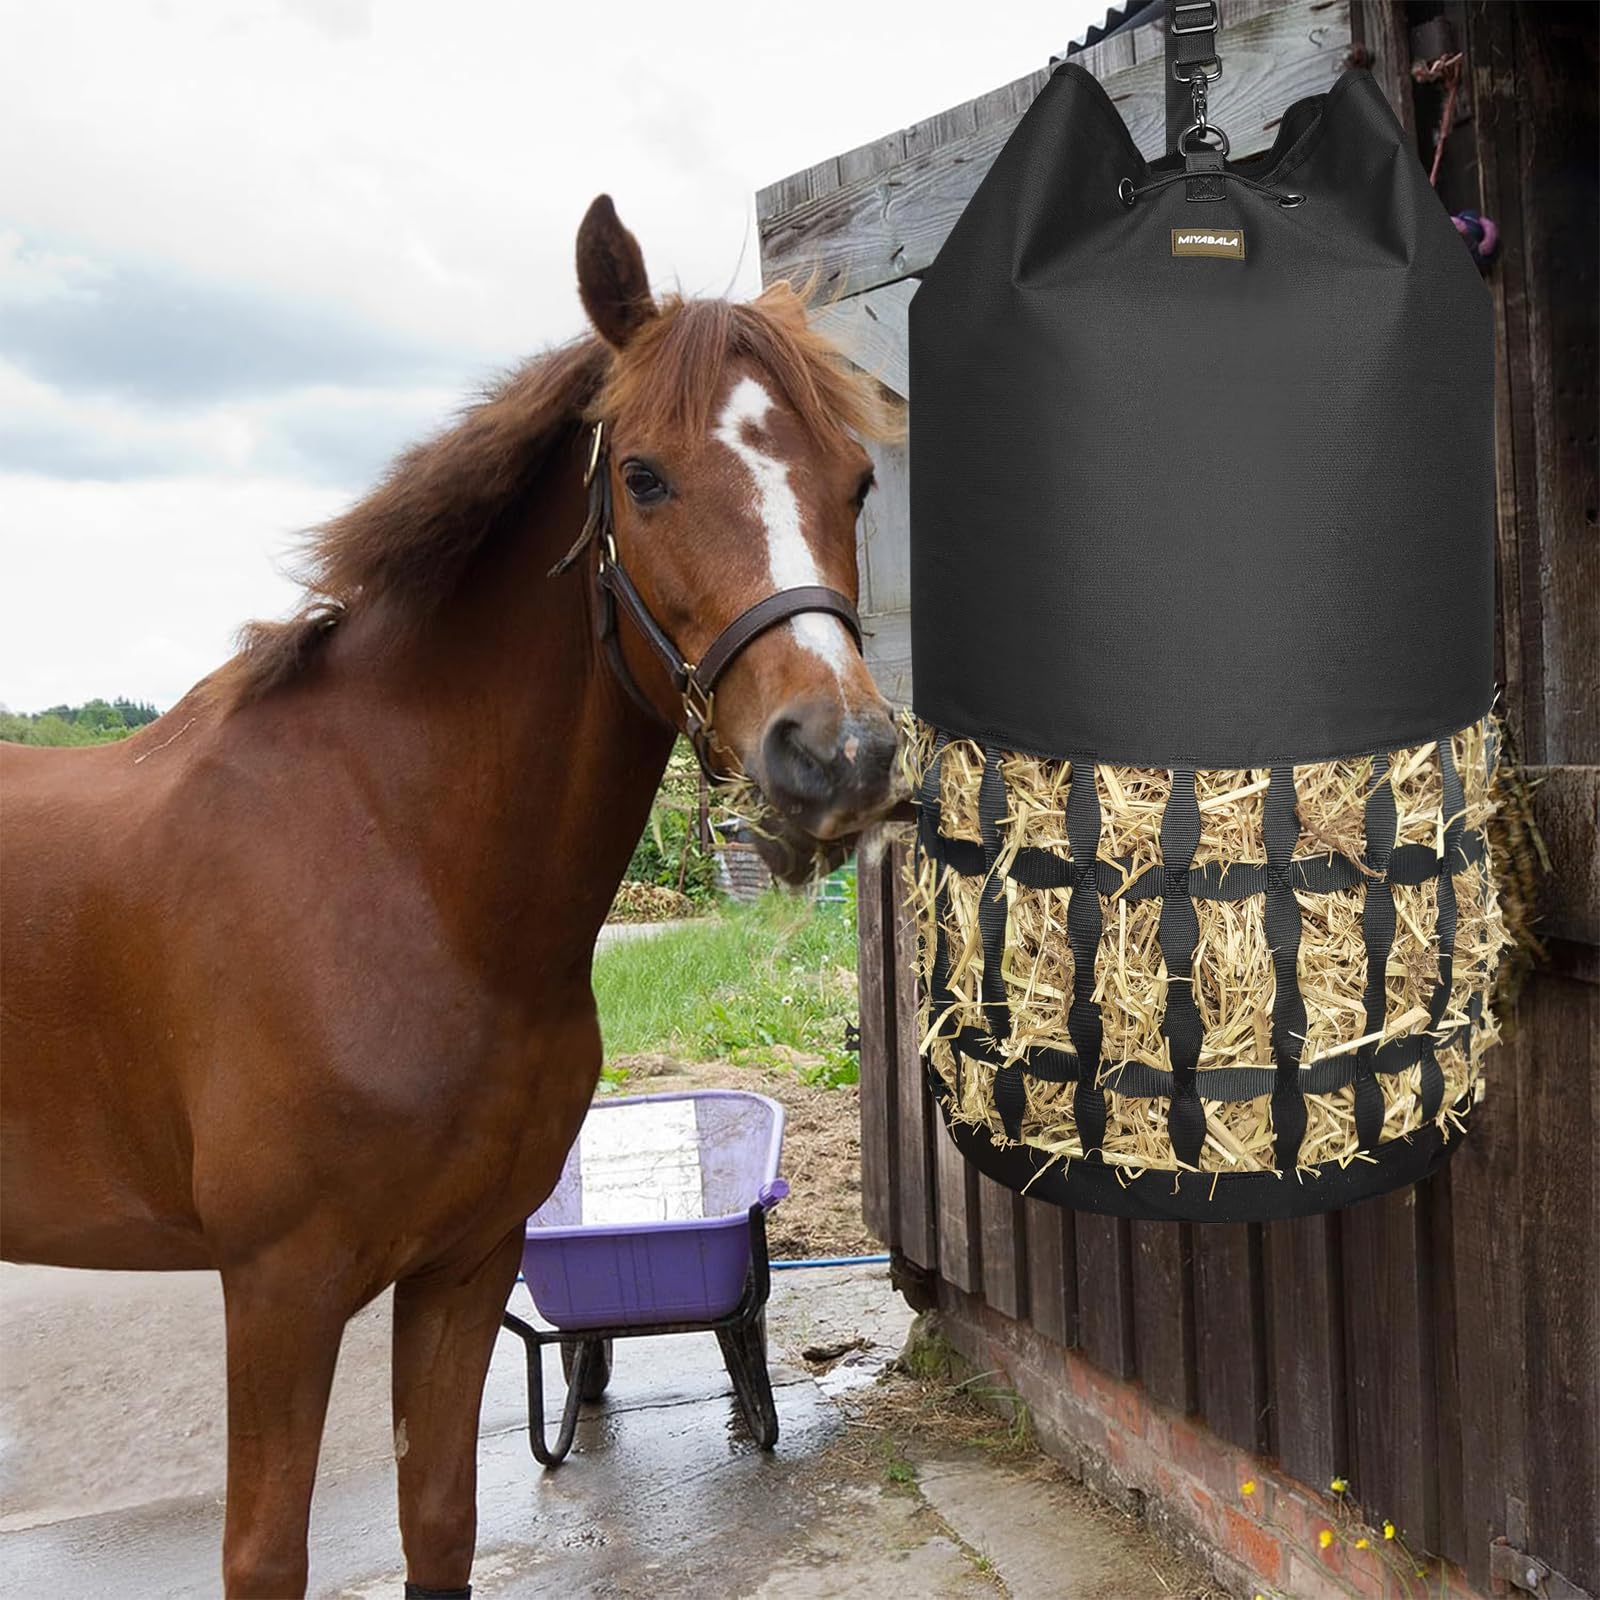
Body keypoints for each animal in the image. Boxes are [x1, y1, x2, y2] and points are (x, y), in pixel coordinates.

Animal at [0, 194, 903, 1598]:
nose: (839, 756)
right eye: (644, 476)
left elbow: (439, 1518)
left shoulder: (466, 1266)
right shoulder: (280, 1286)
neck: (403, 871)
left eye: (854, 480)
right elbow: (264, 1552)